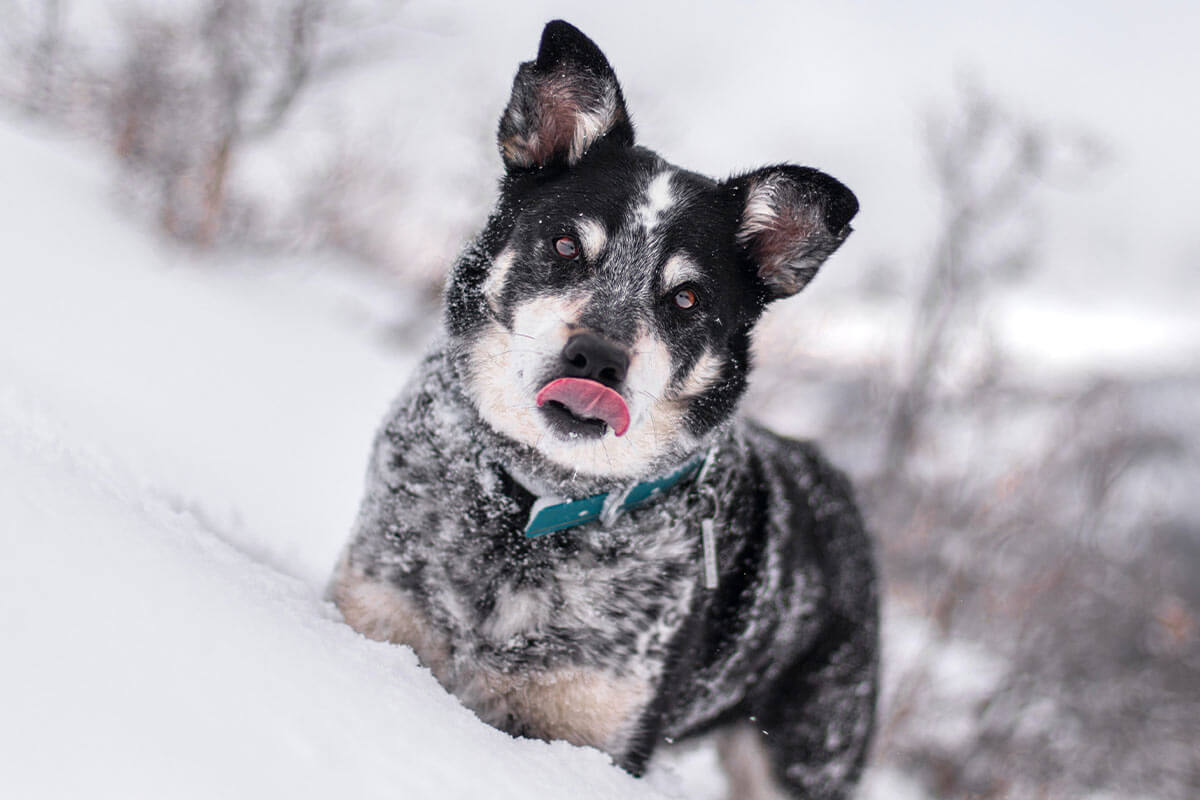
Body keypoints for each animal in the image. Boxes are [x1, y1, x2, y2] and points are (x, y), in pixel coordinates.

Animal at [333, 20, 878, 800]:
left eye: (687, 298)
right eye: (566, 244)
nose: (596, 360)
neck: (534, 510)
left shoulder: (596, 731)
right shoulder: (375, 615)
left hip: (802, 754)